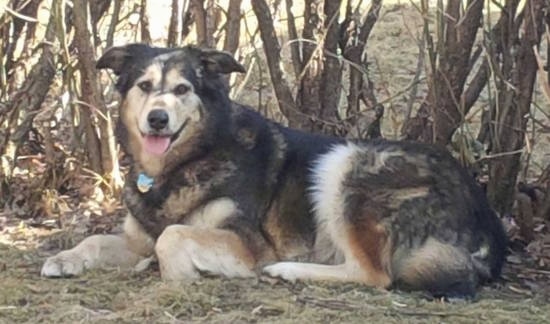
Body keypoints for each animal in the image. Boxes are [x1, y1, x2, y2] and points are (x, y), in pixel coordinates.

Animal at [42, 43, 508, 298]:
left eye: (182, 89)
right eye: (144, 86)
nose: (158, 119)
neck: (185, 162)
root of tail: (487, 216)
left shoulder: (247, 243)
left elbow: (172, 236)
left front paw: (177, 274)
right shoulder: (137, 237)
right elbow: (99, 240)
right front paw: (65, 259)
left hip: (344, 167)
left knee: (374, 274)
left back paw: (288, 271)